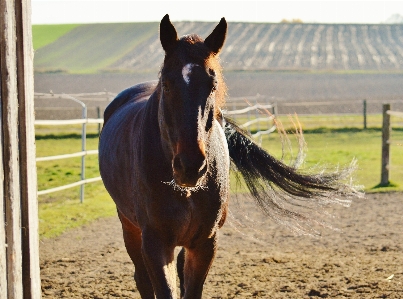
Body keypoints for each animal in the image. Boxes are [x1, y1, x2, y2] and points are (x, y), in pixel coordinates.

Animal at [99, 15, 362, 298]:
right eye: (167, 84)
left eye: (212, 84)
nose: (190, 166)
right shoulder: (155, 242)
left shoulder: (204, 243)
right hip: (129, 225)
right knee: (142, 278)